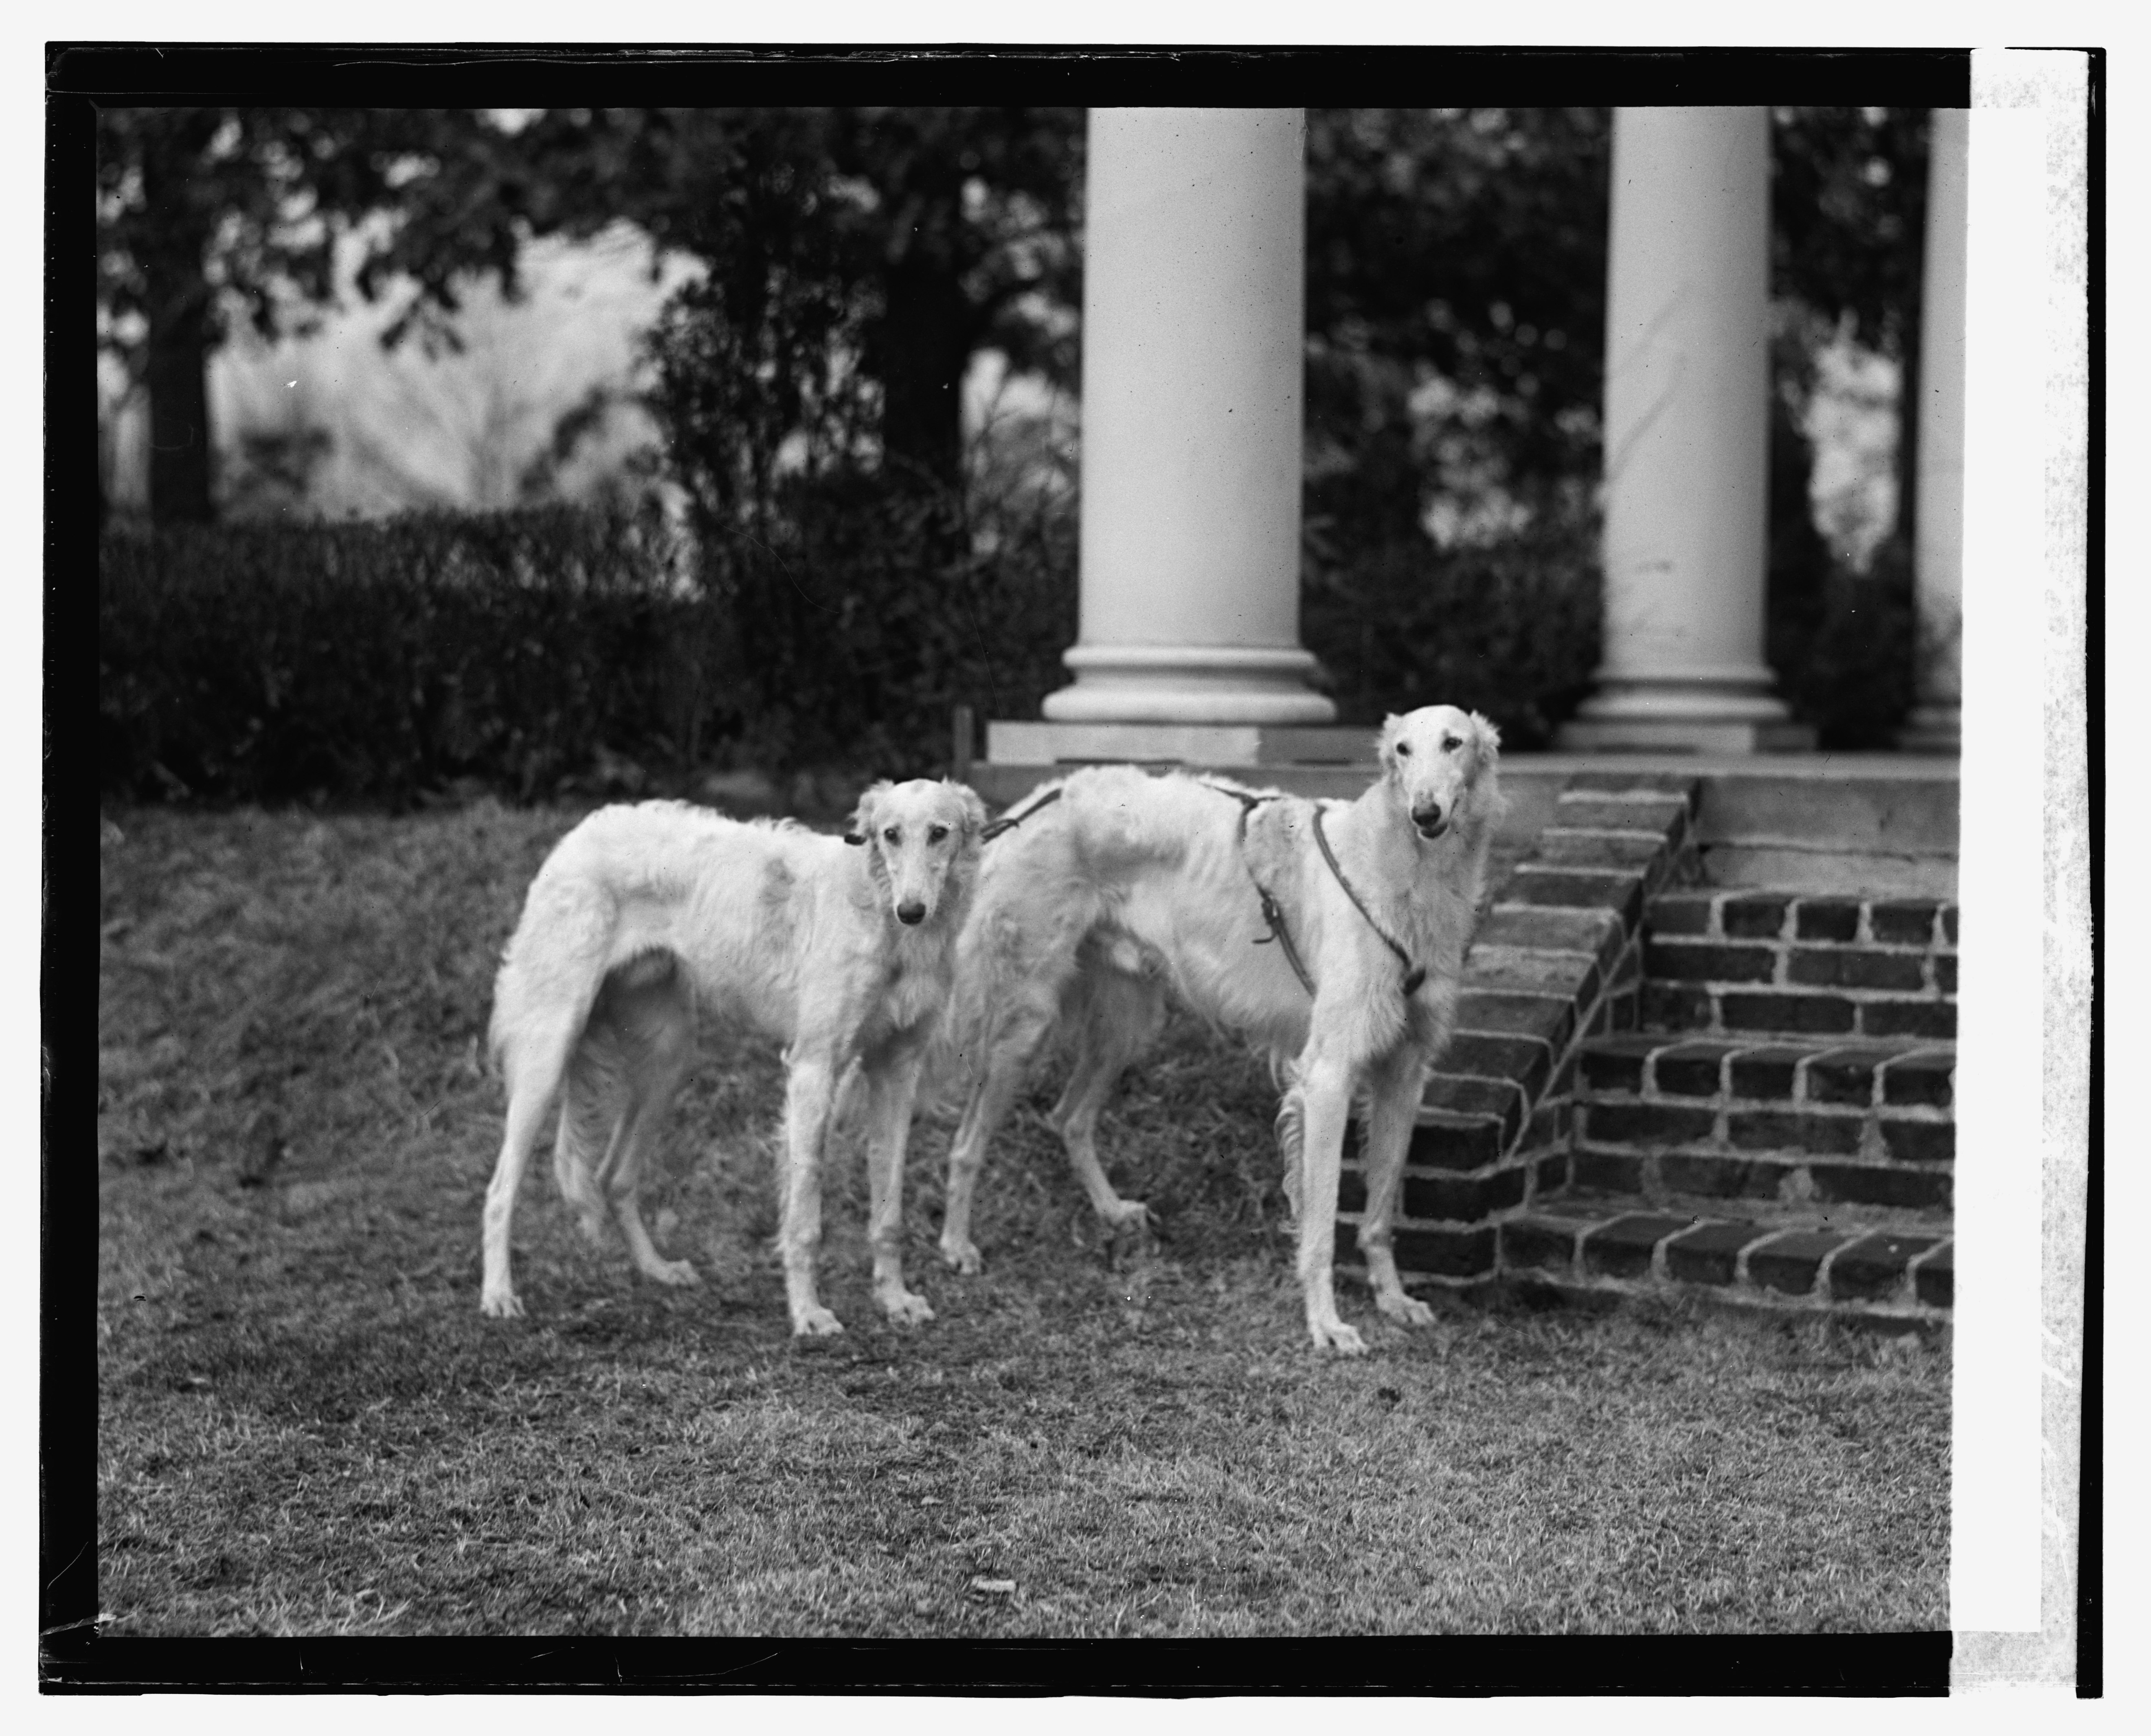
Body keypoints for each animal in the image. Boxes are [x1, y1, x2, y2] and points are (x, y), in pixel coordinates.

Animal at [477, 779, 985, 1334]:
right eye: (890, 835)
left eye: (939, 833)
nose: (911, 911)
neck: (875, 907)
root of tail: (577, 835)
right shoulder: (813, 1069)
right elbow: (804, 1220)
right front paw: (807, 1313)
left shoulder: (895, 1071)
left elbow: (888, 1215)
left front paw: (895, 1300)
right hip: (547, 1054)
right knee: (500, 1190)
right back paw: (498, 1295)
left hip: (669, 1060)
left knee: (612, 1177)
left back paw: (656, 1269)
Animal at [933, 705, 1506, 1359]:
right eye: (1403, 751)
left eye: (1453, 742)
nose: (1425, 813)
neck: (1393, 868)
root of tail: (1035, 801)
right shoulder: (1328, 1075)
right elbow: (1320, 1227)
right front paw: (1326, 1325)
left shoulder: (1405, 1075)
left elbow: (1379, 1215)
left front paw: (1393, 1299)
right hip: (1023, 1027)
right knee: (967, 1144)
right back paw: (955, 1245)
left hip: (1126, 1025)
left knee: (1068, 1116)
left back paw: (1112, 1211)